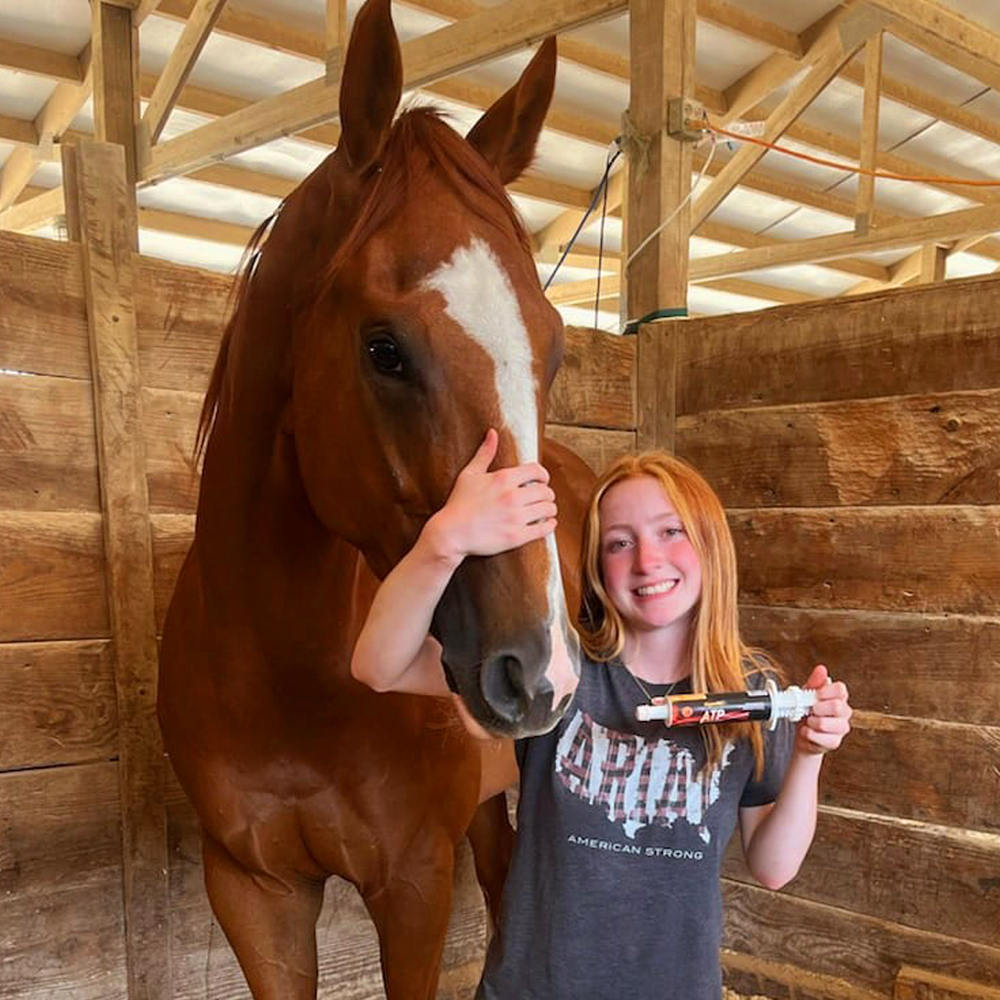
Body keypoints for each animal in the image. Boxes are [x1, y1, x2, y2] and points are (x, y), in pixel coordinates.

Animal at [157, 1, 596, 997]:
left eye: (553, 349)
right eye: (384, 349)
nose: (539, 674)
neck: (291, 674)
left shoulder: (413, 883)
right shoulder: (253, 890)